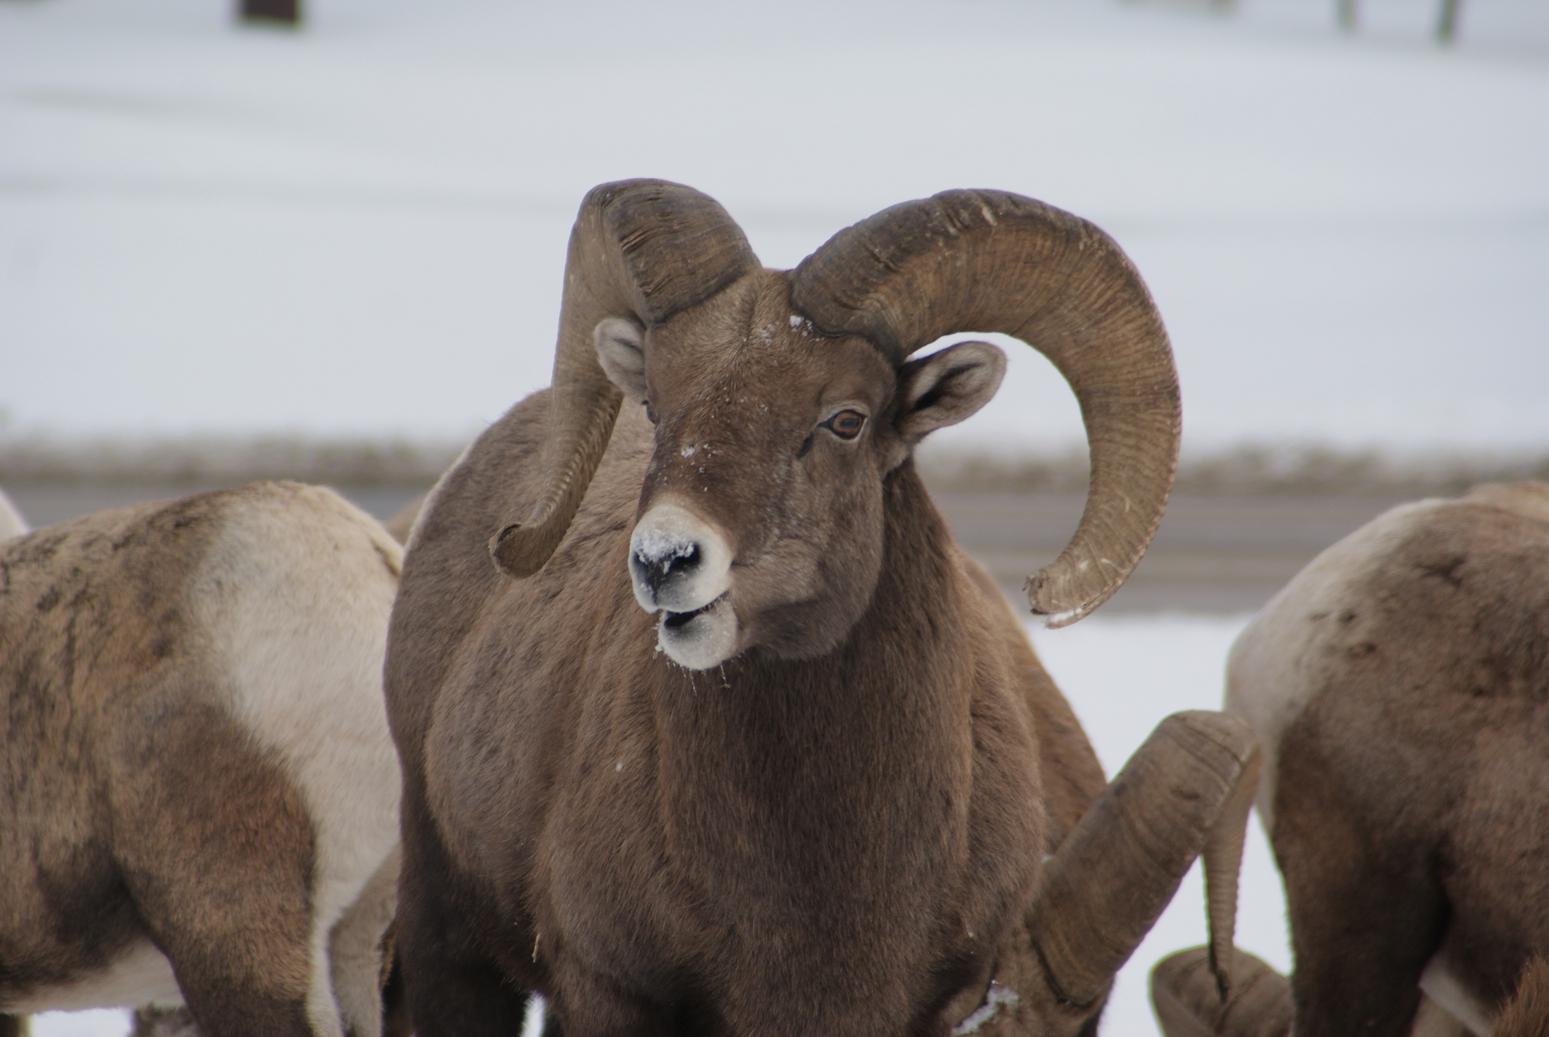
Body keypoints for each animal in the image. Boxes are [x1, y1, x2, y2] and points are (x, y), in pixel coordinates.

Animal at [384, 182, 1257, 1029]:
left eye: (844, 419)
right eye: (657, 407)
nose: (664, 559)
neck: (818, 894)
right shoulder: (613, 994)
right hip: (449, 943)